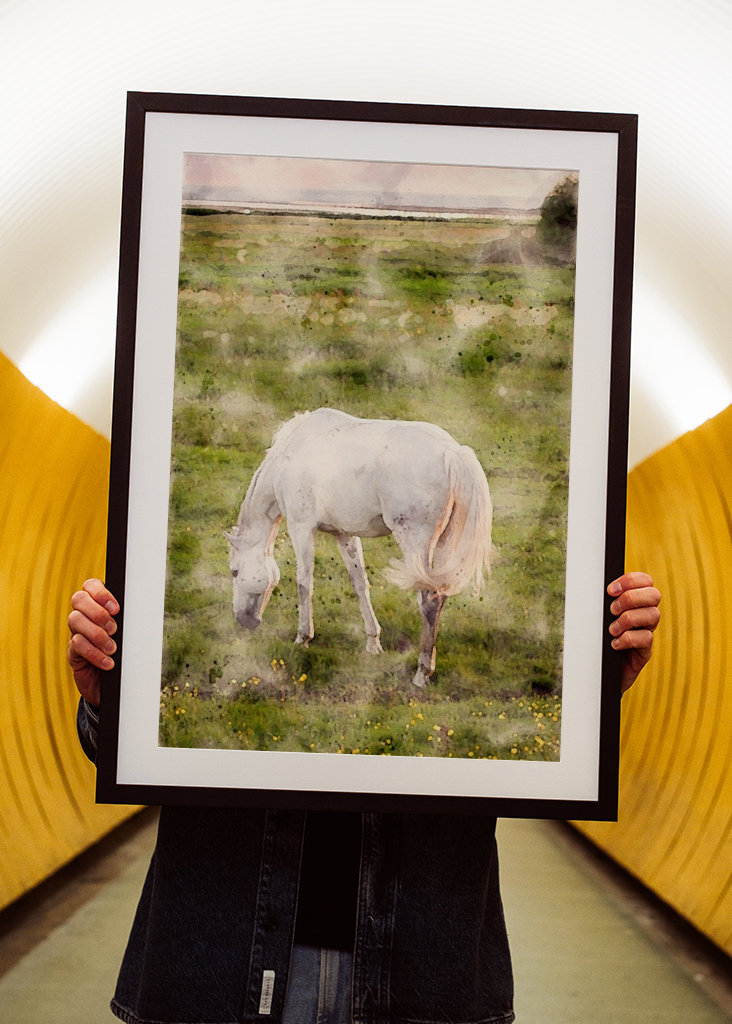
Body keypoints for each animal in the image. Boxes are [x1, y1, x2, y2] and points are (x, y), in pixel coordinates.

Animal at [225, 408, 492, 687]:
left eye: (235, 571)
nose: (244, 621)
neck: (290, 454)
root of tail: (451, 451)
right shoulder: (345, 534)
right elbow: (360, 584)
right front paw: (373, 643)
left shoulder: (301, 527)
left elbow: (304, 583)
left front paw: (303, 637)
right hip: (442, 546)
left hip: (416, 544)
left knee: (429, 600)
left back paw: (422, 673)